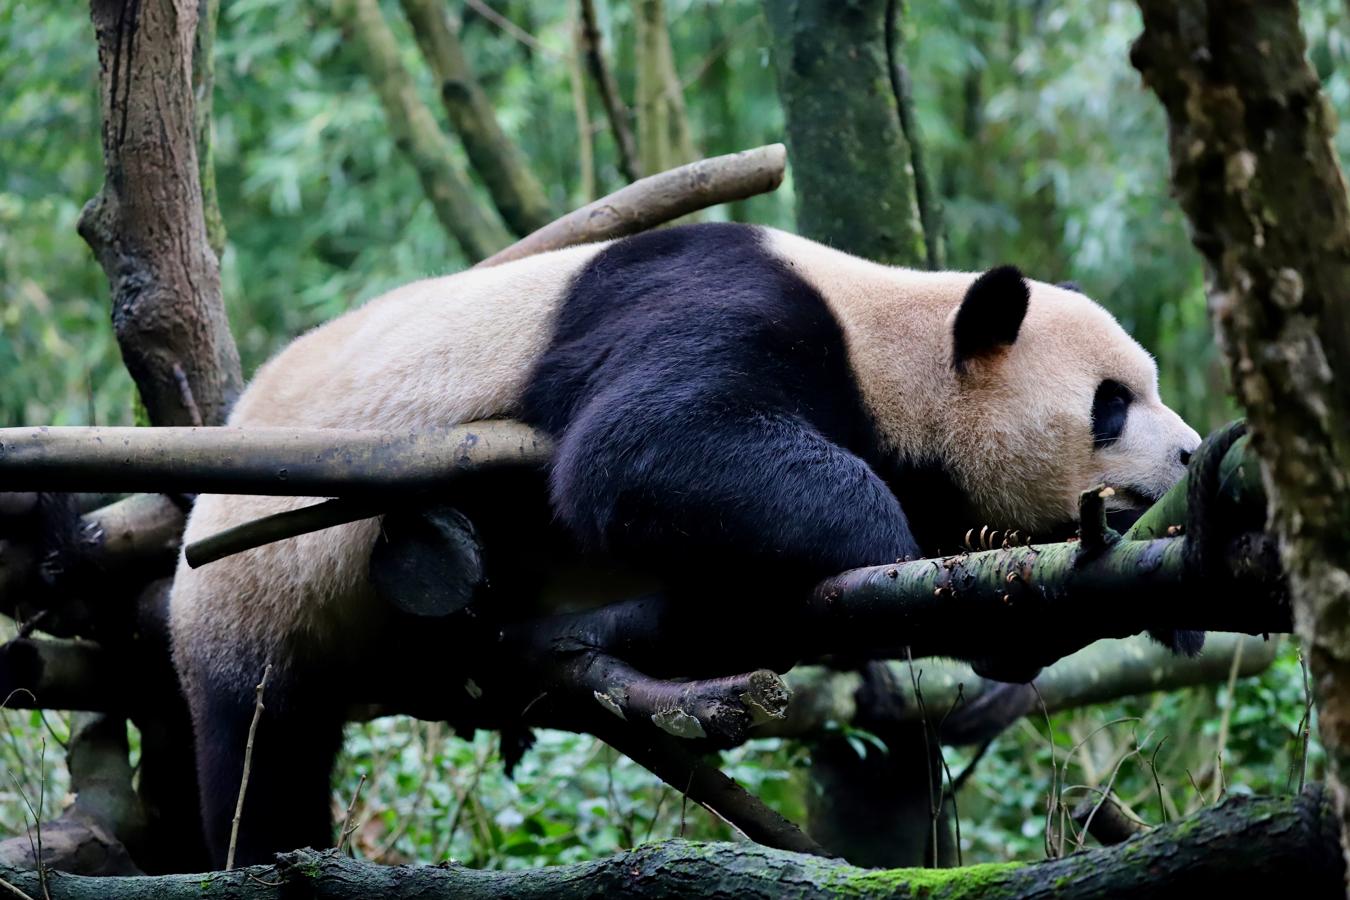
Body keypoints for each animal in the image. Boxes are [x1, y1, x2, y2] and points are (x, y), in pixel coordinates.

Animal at [168, 218, 1204, 863]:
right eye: (1112, 403)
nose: (1195, 453)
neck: (889, 340)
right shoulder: (728, 308)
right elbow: (645, 446)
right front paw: (890, 555)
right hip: (259, 590)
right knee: (260, 752)